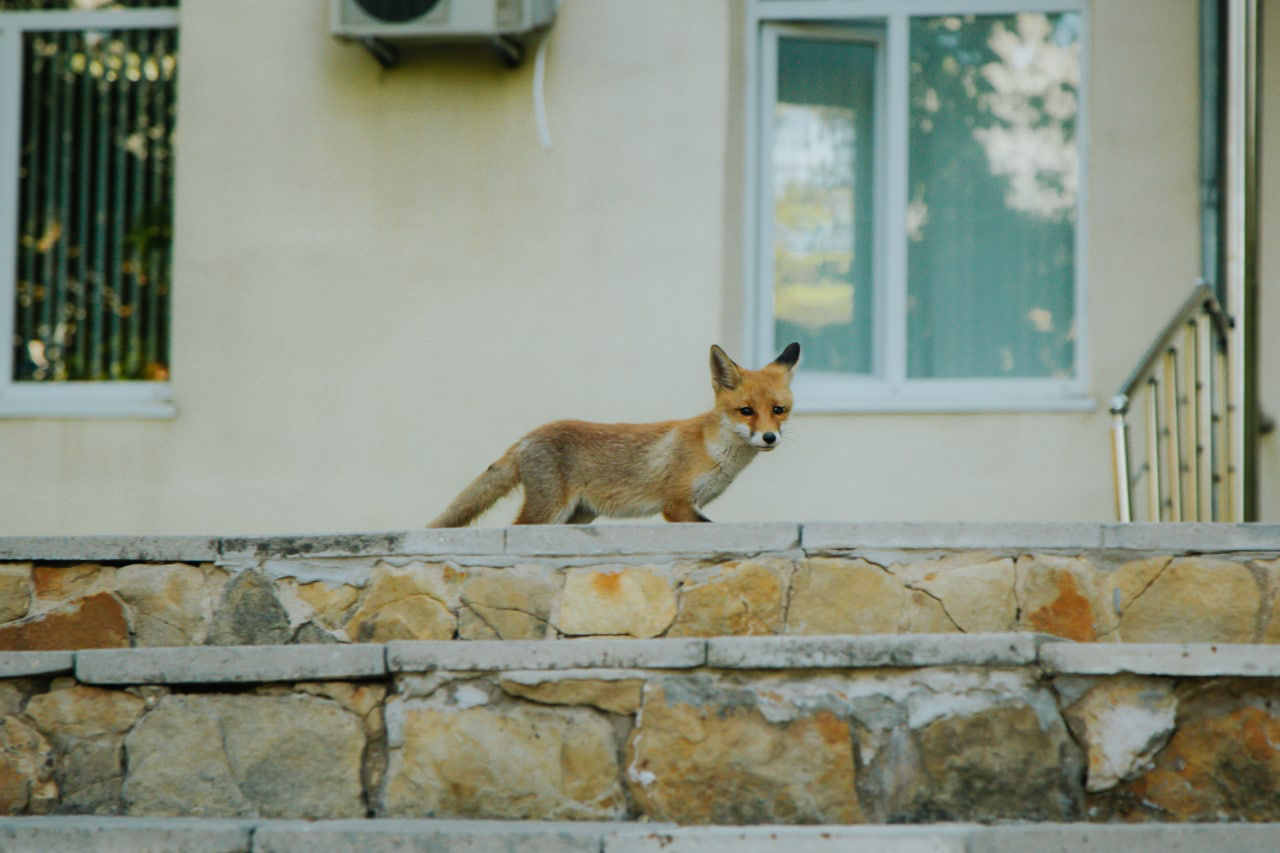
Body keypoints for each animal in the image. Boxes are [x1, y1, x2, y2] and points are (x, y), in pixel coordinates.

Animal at [427, 342, 800, 527]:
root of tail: (529, 435)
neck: (713, 451)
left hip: (577, 516)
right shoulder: (677, 504)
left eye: (778, 410)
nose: (769, 438)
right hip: (549, 511)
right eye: (746, 411)